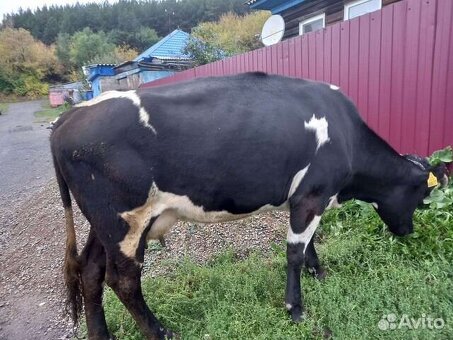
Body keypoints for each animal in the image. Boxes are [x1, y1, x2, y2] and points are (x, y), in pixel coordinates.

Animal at [50, 73, 444, 338]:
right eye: (420, 196)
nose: (407, 231)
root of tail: (69, 116)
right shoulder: (312, 194)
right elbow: (294, 252)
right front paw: (296, 309)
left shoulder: (305, 198)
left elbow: (310, 245)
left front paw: (320, 273)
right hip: (125, 220)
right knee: (124, 280)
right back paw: (161, 332)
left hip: (102, 223)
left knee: (90, 270)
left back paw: (101, 334)